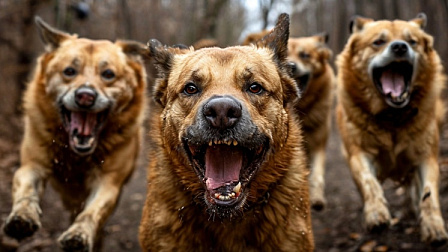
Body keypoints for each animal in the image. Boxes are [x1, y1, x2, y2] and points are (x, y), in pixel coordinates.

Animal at [2, 16, 148, 251]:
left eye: (108, 74)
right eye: (69, 71)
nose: (85, 96)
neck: (76, 155)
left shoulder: (109, 182)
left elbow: (92, 212)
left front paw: (79, 234)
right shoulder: (32, 166)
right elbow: (26, 191)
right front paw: (22, 217)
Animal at [336, 13, 448, 246]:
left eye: (412, 41)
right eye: (378, 42)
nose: (399, 47)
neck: (392, 117)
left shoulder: (426, 157)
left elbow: (429, 193)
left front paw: (433, 226)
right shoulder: (359, 153)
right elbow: (368, 182)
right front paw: (375, 214)